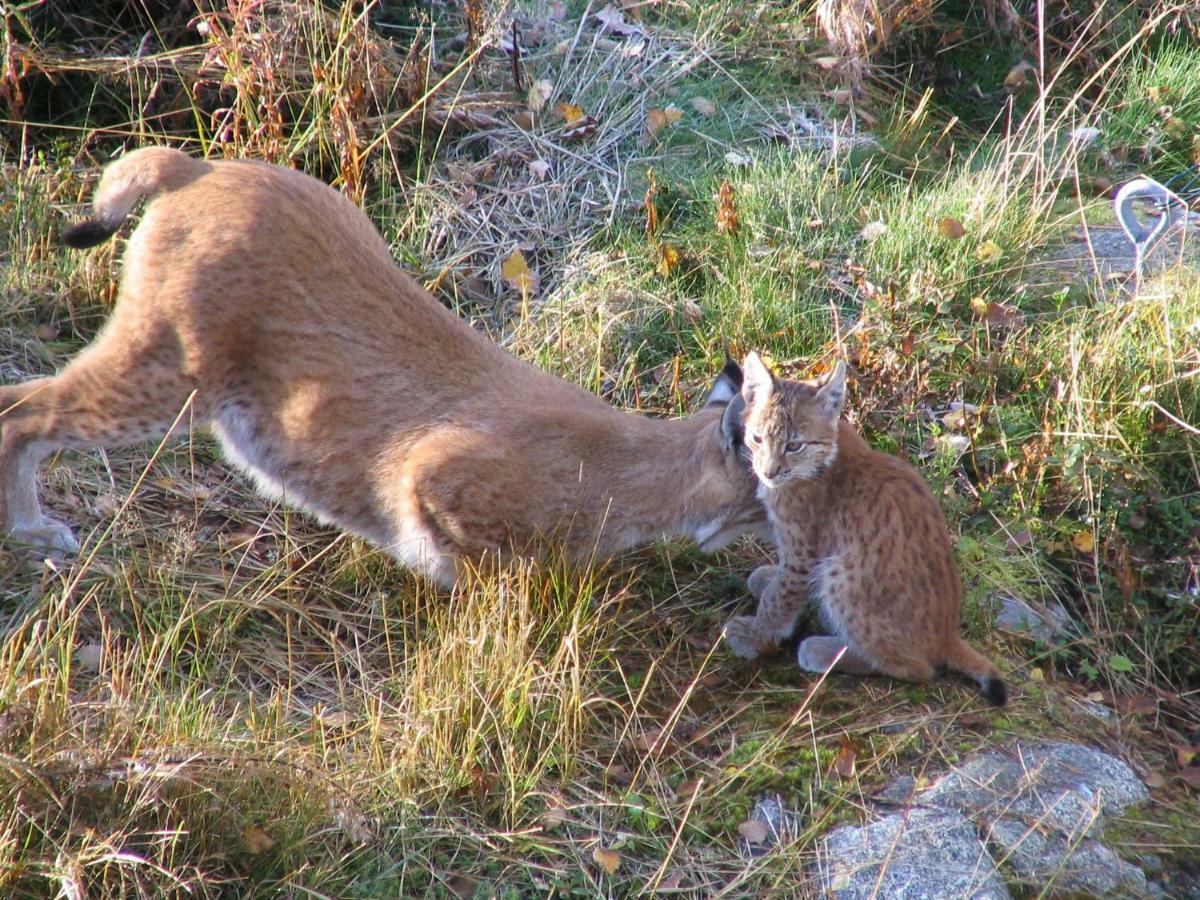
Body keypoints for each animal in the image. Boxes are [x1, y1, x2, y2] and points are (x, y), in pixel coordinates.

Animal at [724, 352, 1008, 705]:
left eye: (794, 446)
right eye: (757, 438)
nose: (768, 472)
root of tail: (948, 634)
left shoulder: (805, 554)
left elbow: (781, 596)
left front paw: (755, 634)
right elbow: (780, 582)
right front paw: (767, 580)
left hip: (843, 572)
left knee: (917, 668)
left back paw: (823, 651)